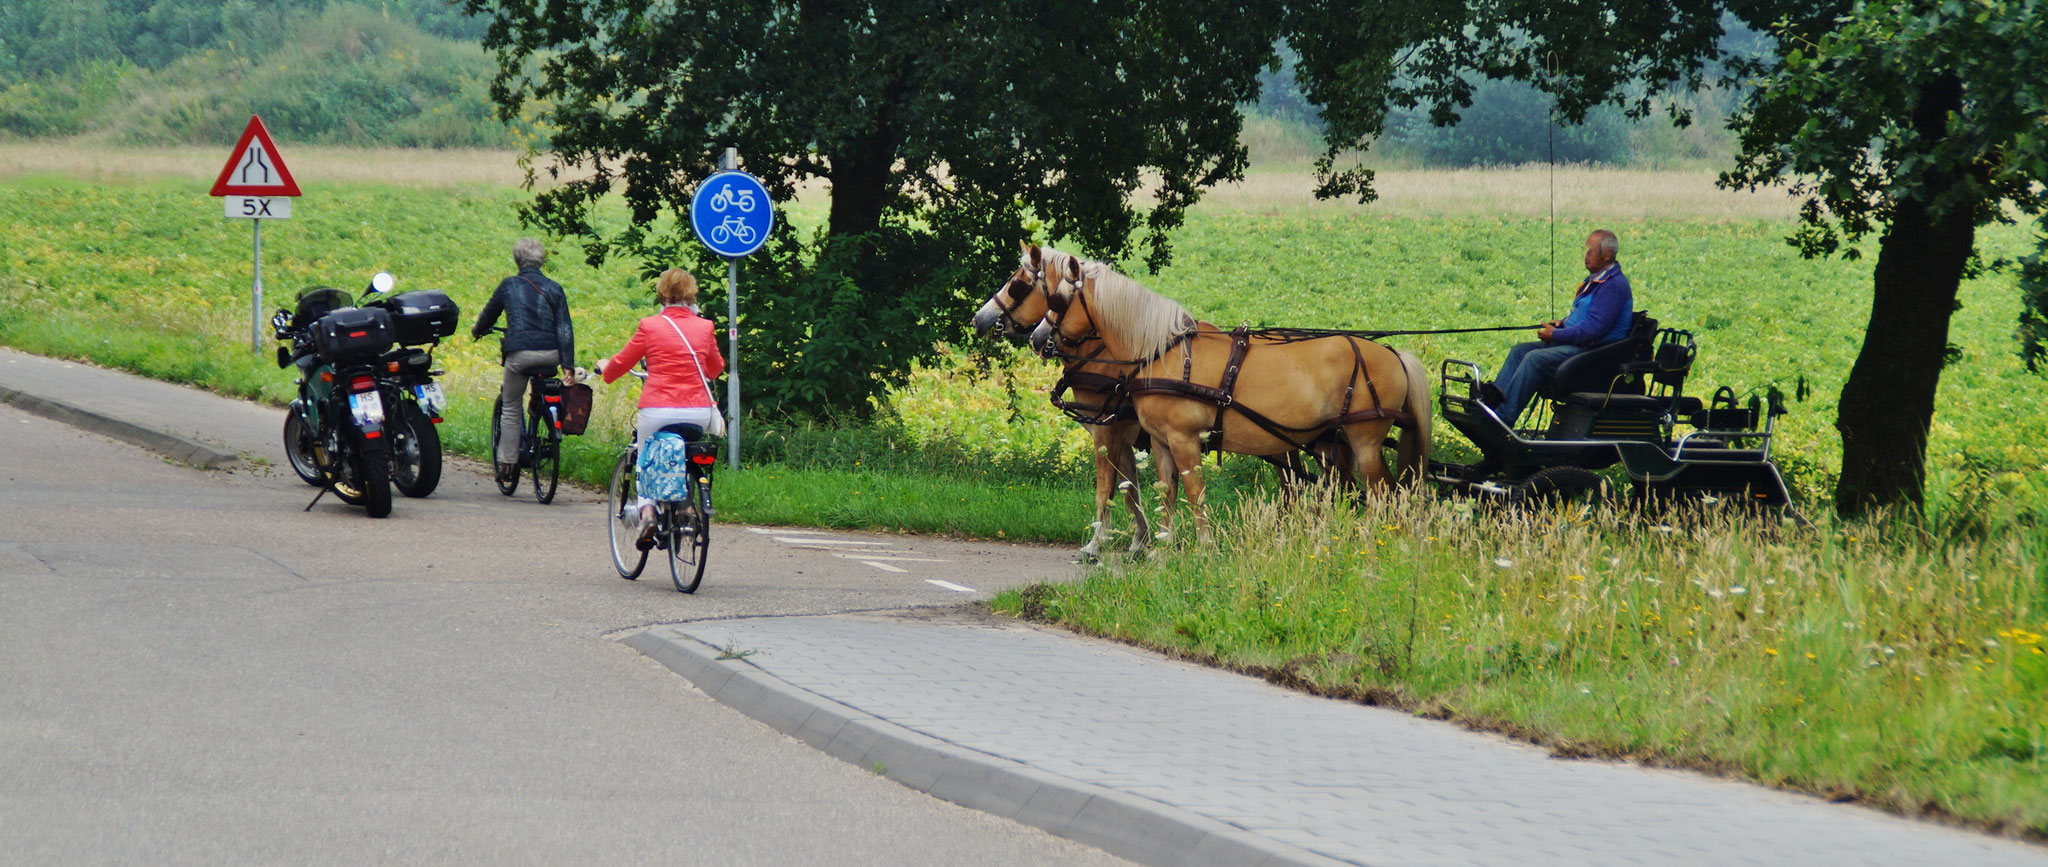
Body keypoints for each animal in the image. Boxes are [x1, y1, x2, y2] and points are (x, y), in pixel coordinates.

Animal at [1032, 258, 1433, 541]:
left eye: (1057, 299)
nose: (1037, 339)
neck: (1163, 351)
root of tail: (1393, 353)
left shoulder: (1183, 438)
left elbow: (1195, 493)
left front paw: (1204, 548)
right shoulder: (1161, 441)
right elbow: (1166, 493)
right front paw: (1163, 551)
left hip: (1365, 440)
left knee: (1381, 495)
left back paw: (1369, 539)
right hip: (1336, 443)